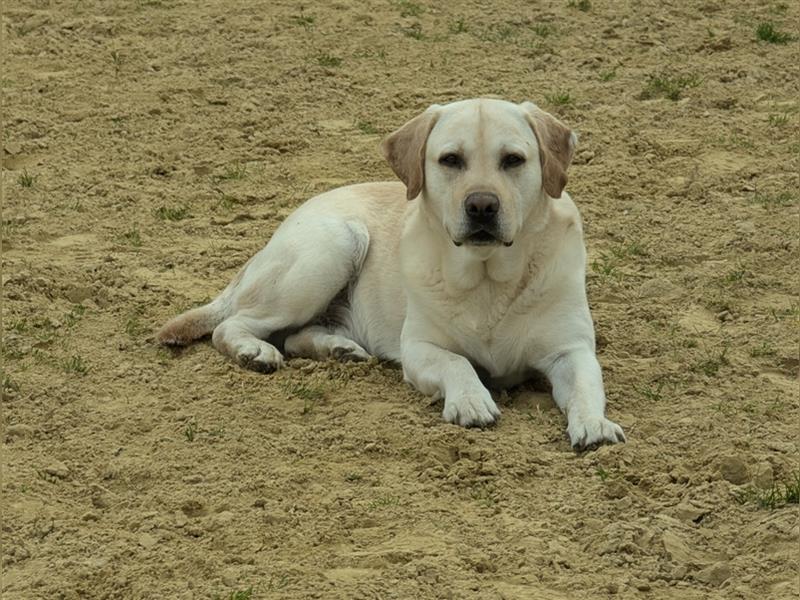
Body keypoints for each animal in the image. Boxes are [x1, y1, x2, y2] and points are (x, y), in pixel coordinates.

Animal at [158, 98, 624, 448]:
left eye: (513, 160)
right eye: (450, 160)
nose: (481, 206)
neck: (488, 277)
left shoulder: (572, 351)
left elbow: (587, 387)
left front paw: (594, 425)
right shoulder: (419, 348)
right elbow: (458, 362)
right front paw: (471, 401)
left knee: (293, 337)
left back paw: (339, 349)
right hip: (331, 248)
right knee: (234, 325)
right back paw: (254, 352)